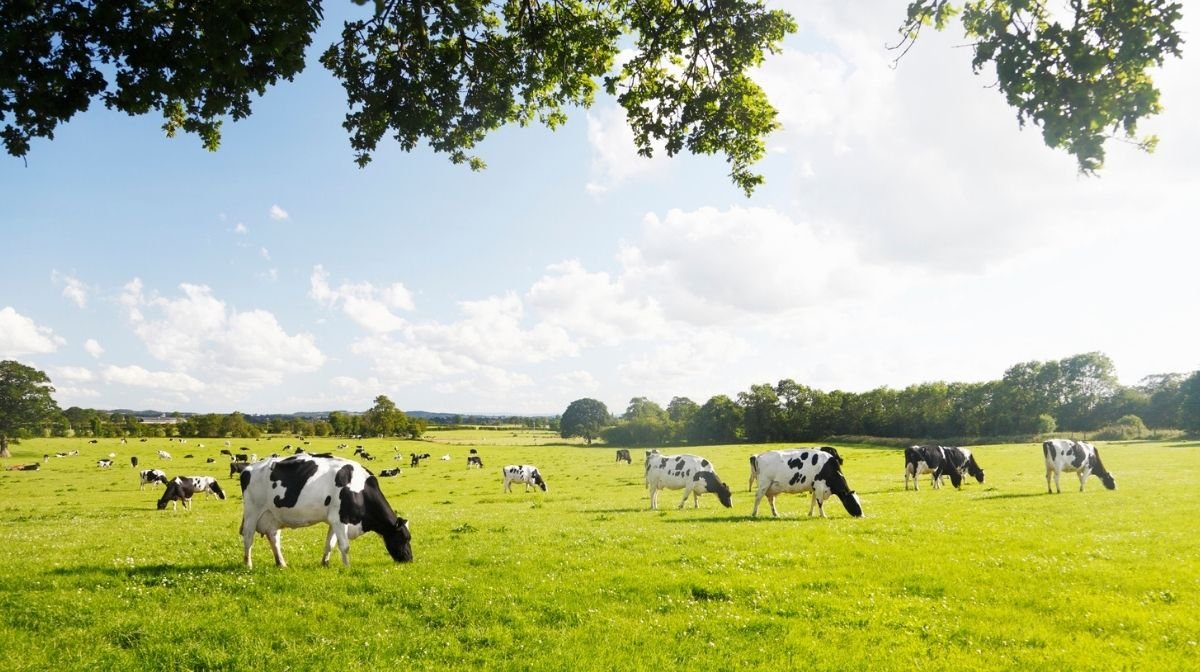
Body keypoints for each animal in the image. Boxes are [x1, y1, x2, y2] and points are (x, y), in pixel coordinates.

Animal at [236, 453, 415, 568]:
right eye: (404, 538)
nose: (409, 559)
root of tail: (248, 468)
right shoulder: (340, 519)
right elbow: (344, 546)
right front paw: (347, 567)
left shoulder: (334, 520)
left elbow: (330, 543)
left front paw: (325, 563)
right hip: (252, 512)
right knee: (248, 537)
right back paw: (248, 564)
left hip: (273, 516)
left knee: (274, 538)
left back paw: (282, 563)